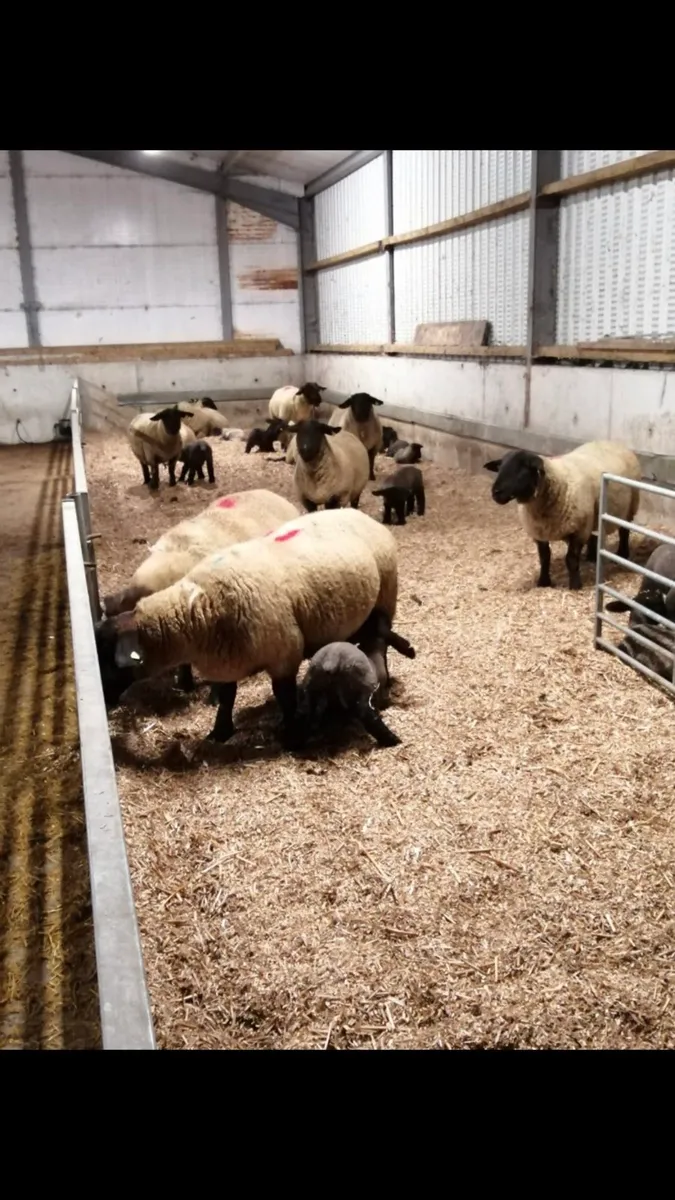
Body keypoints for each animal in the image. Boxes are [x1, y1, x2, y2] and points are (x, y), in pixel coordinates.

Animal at [92, 506, 396, 748]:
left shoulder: (284, 654)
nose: (102, 702)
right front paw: (220, 732)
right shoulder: (228, 662)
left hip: (384, 600)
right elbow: (227, 697)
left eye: (107, 657)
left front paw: (291, 734)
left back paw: (381, 691)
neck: (200, 609)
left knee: (378, 648)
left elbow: (285, 697)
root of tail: (356, 511)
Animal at [485, 441, 638, 590]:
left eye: (522, 469)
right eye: (499, 468)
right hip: (593, 513)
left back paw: (622, 554)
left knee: (624, 531)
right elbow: (544, 558)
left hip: (630, 506)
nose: (495, 492)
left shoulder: (579, 530)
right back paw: (591, 556)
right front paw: (543, 582)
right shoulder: (539, 532)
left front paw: (575, 585)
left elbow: (571, 559)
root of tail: (615, 443)